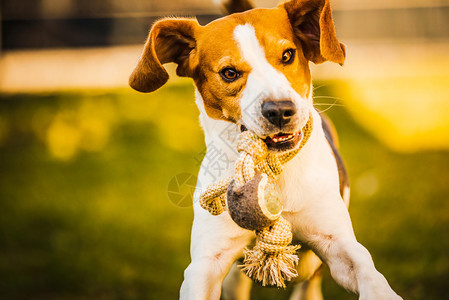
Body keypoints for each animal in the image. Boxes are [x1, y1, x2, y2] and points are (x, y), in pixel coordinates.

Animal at [128, 0, 400, 298]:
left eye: (288, 55)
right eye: (229, 73)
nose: (280, 110)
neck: (275, 169)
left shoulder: (336, 242)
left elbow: (365, 271)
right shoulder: (206, 264)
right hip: (235, 279)